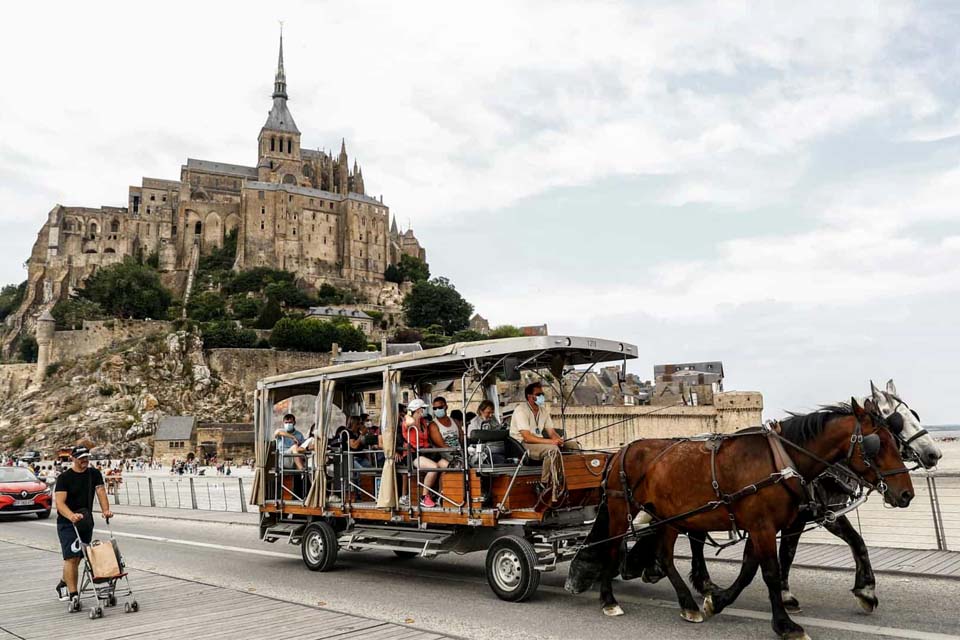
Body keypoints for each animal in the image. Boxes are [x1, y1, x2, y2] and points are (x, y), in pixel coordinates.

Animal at [568, 400, 912, 640]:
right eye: (876, 445)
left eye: (896, 442)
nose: (906, 494)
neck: (781, 461)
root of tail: (620, 451)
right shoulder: (762, 526)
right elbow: (770, 572)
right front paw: (785, 624)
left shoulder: (765, 525)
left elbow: (750, 570)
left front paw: (718, 601)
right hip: (620, 510)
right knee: (612, 550)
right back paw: (609, 599)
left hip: (667, 517)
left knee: (664, 556)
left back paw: (688, 603)